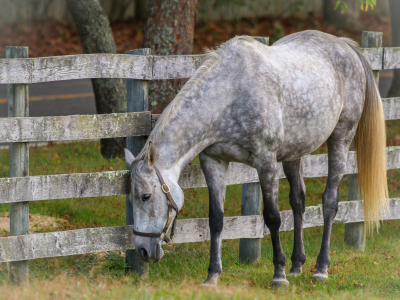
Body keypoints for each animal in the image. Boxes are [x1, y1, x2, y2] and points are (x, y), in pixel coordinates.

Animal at [125, 30, 388, 286]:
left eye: (146, 196)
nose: (143, 250)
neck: (231, 93)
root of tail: (343, 44)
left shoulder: (266, 162)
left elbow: (272, 217)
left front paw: (278, 274)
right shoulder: (213, 162)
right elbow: (216, 220)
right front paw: (212, 276)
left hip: (341, 138)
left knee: (330, 202)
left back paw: (320, 269)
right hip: (295, 152)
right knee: (298, 202)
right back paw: (297, 266)